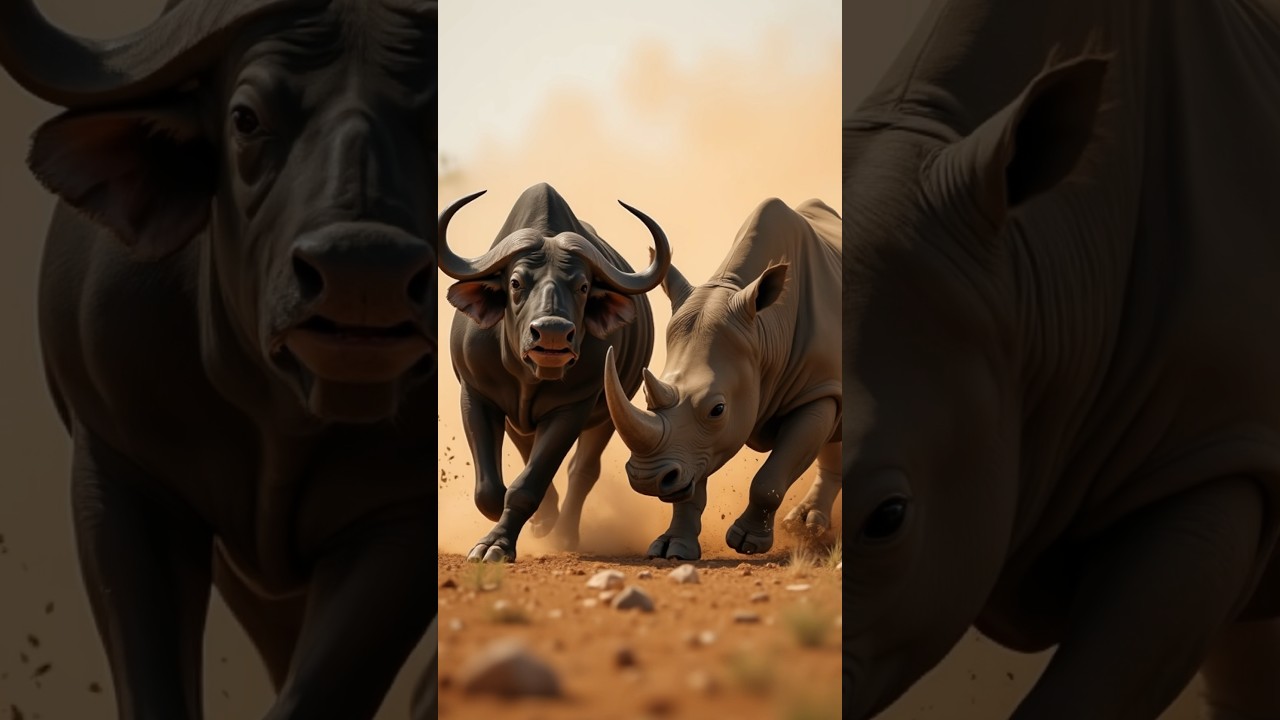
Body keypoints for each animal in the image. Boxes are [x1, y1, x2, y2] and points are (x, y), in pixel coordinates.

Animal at [0, 1, 437, 718]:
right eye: (246, 118)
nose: (362, 273)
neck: (282, 422)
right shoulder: (119, 475)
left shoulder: (402, 519)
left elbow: (316, 694)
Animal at [438, 183, 671, 563]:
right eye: (515, 282)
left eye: (583, 286)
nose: (551, 333)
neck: (527, 375)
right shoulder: (476, 394)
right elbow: (489, 489)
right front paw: (530, 521)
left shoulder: (574, 407)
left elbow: (527, 484)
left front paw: (497, 544)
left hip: (612, 411)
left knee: (582, 470)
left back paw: (564, 533)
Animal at [603, 197, 842, 561]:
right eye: (646, 396)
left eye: (717, 409)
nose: (647, 479)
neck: (763, 333)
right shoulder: (696, 444)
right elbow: (691, 481)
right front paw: (672, 548)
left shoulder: (819, 390)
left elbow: (771, 477)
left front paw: (748, 543)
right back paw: (803, 528)